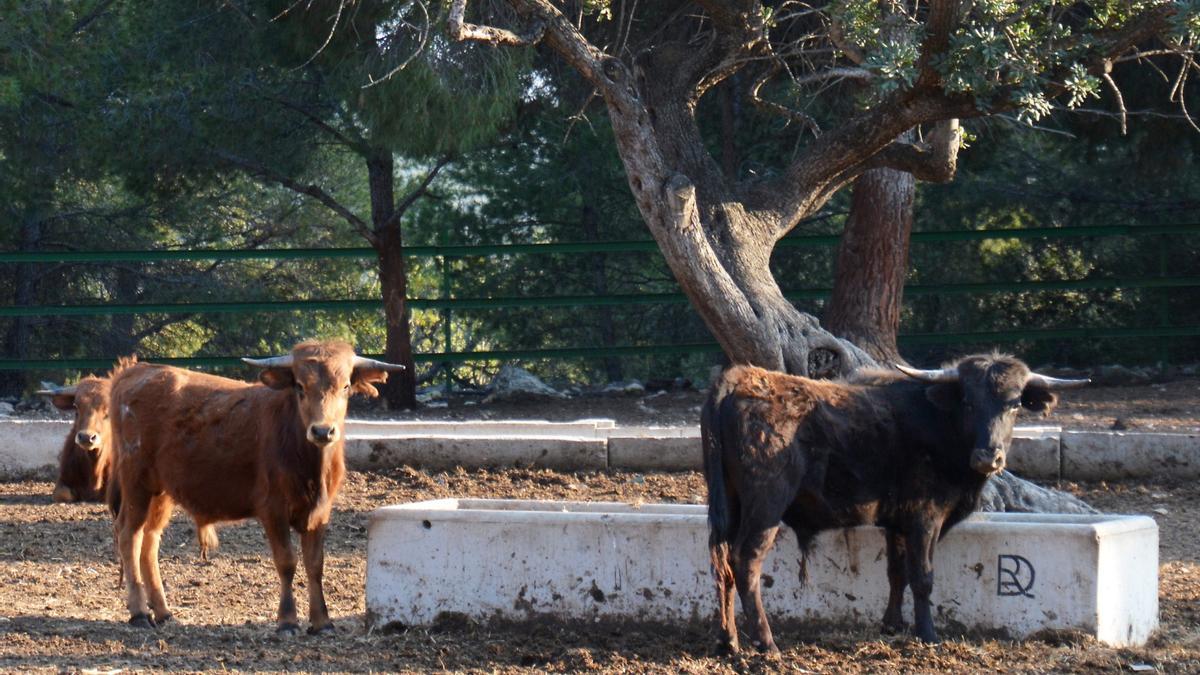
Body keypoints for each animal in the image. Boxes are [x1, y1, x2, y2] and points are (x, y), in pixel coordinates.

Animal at [109, 338, 398, 634]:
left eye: (346, 386)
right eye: (300, 386)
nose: (322, 431)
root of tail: (136, 371)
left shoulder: (320, 513)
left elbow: (315, 564)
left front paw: (322, 621)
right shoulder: (273, 510)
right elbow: (287, 561)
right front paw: (287, 620)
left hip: (161, 491)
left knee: (150, 539)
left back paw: (163, 611)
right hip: (136, 483)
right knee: (129, 536)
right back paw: (139, 612)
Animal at [700, 353, 1089, 653]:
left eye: (1014, 404)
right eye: (968, 401)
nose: (987, 457)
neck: (940, 423)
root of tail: (739, 378)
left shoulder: (897, 522)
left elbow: (896, 571)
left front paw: (892, 624)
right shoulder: (925, 517)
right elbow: (922, 576)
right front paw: (928, 633)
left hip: (730, 506)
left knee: (723, 565)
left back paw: (728, 641)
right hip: (766, 504)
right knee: (746, 562)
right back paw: (766, 643)